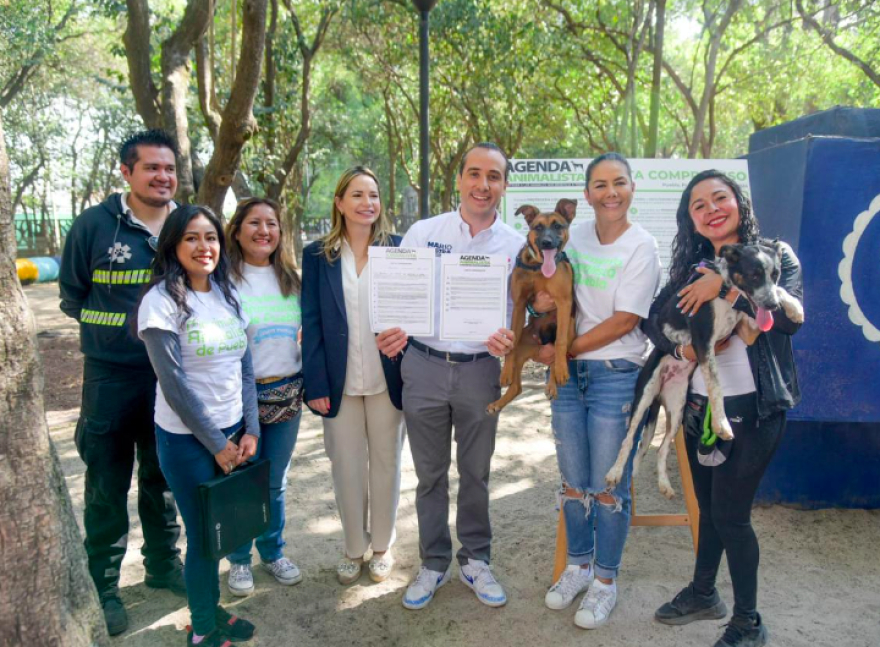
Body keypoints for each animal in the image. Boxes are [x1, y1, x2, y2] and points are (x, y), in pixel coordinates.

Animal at [484, 199, 580, 416]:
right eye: (538, 227)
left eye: (558, 226)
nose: (547, 242)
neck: (539, 268)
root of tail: (538, 349)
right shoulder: (519, 303)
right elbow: (510, 344)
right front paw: (505, 372)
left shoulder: (564, 302)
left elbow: (560, 342)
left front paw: (560, 372)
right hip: (523, 347)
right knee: (517, 387)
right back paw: (498, 403)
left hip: (571, 331)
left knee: (556, 356)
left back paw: (554, 382)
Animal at [604, 240, 804, 498]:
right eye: (754, 275)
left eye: (776, 274)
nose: (772, 306)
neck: (725, 294)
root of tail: (659, 392)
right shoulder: (703, 344)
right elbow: (716, 386)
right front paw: (721, 424)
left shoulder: (749, 327)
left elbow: (777, 294)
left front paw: (794, 307)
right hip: (644, 398)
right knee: (628, 441)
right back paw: (615, 473)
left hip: (677, 409)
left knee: (661, 449)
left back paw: (665, 484)